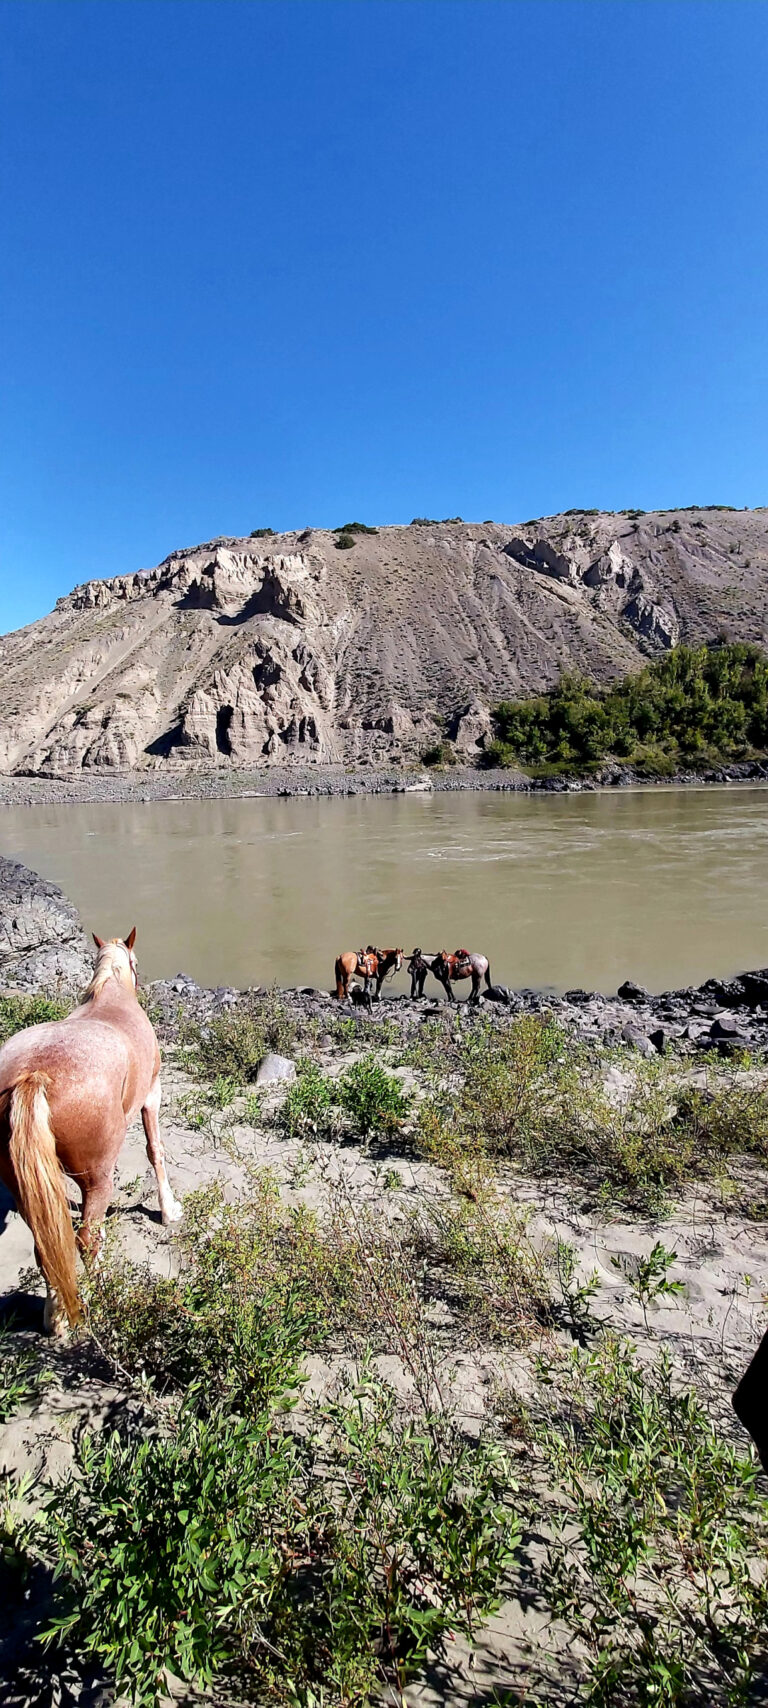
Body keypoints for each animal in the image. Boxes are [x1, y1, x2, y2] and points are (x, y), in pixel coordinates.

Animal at [0, 930, 182, 1336]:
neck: (110, 994)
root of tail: (34, 1076)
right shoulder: (153, 1093)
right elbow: (156, 1151)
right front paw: (168, 1210)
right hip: (97, 1177)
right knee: (84, 1240)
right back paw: (102, 1298)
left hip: (22, 1185)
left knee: (49, 1246)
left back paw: (56, 1318)